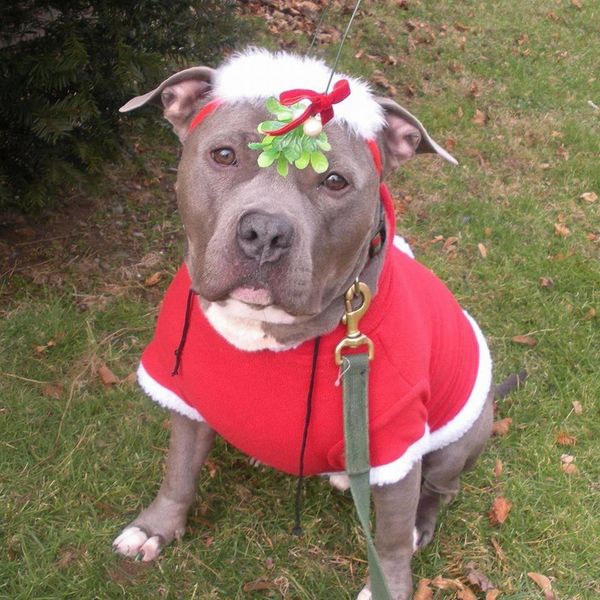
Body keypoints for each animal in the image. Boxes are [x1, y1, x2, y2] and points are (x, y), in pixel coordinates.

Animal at [112, 50, 506, 600]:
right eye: (224, 155)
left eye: (334, 181)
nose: (265, 232)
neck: (262, 328)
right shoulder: (183, 393)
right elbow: (179, 472)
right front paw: (155, 528)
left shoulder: (396, 445)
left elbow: (389, 538)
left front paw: (390, 583)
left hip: (459, 437)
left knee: (440, 489)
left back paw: (419, 524)